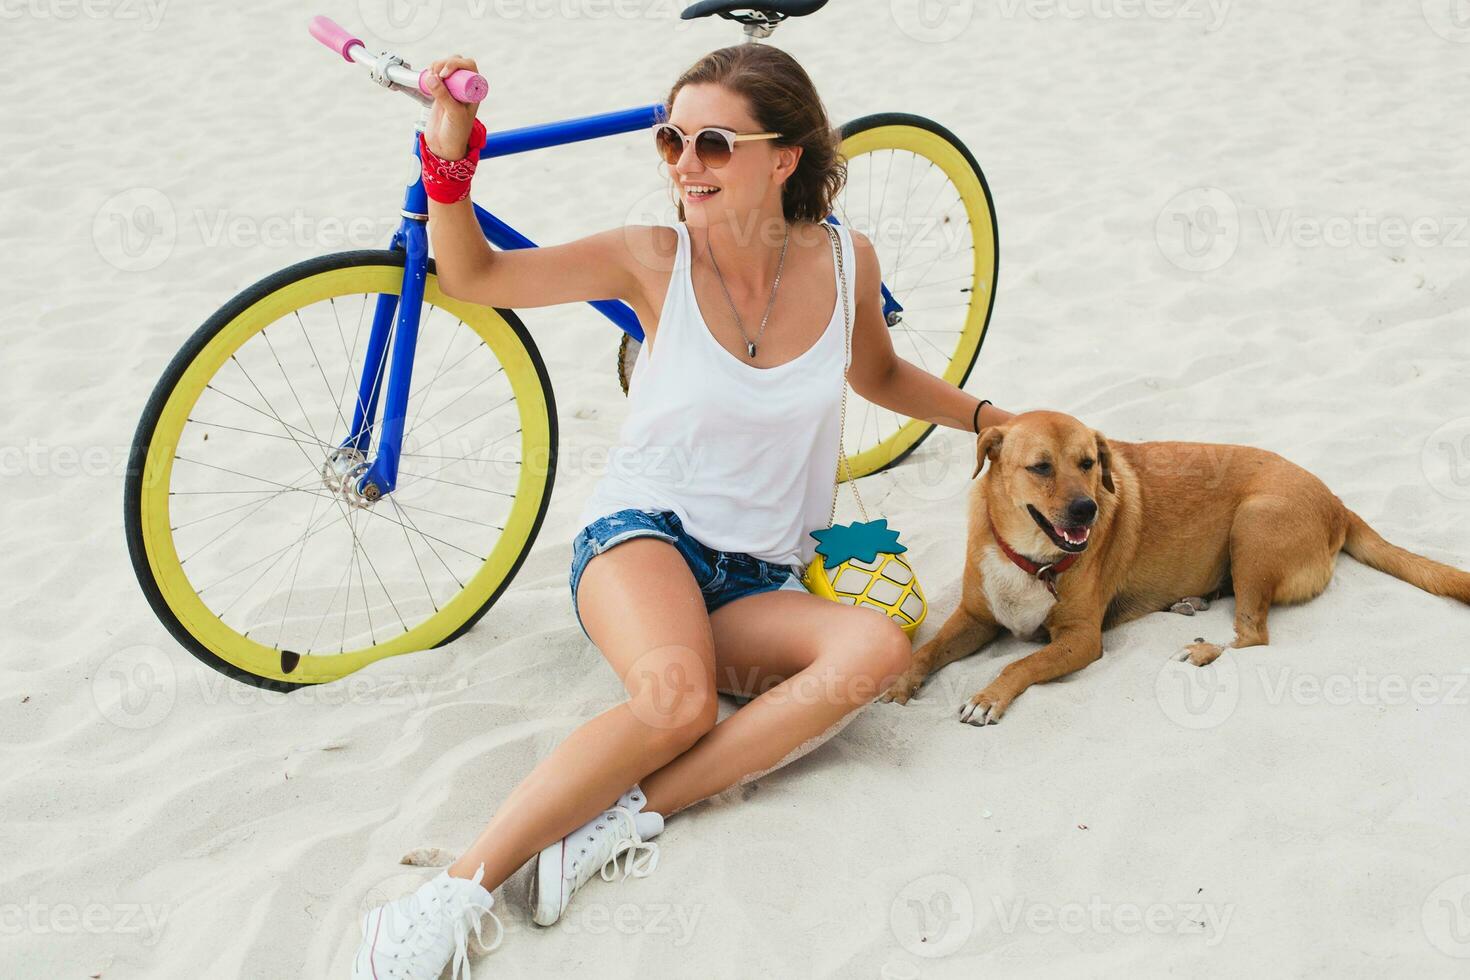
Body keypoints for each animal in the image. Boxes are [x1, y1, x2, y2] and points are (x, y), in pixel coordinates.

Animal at [882, 411, 1470, 725]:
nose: (1087, 510)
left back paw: (1204, 647)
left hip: (1254, 524)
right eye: (1041, 468)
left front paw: (987, 697)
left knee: (1254, 635)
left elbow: (1018, 665)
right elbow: (929, 650)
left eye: (1089, 464)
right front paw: (899, 683)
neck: (1032, 557)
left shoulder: (1080, 640)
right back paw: (1193, 601)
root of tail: (1337, 502)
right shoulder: (975, 617)